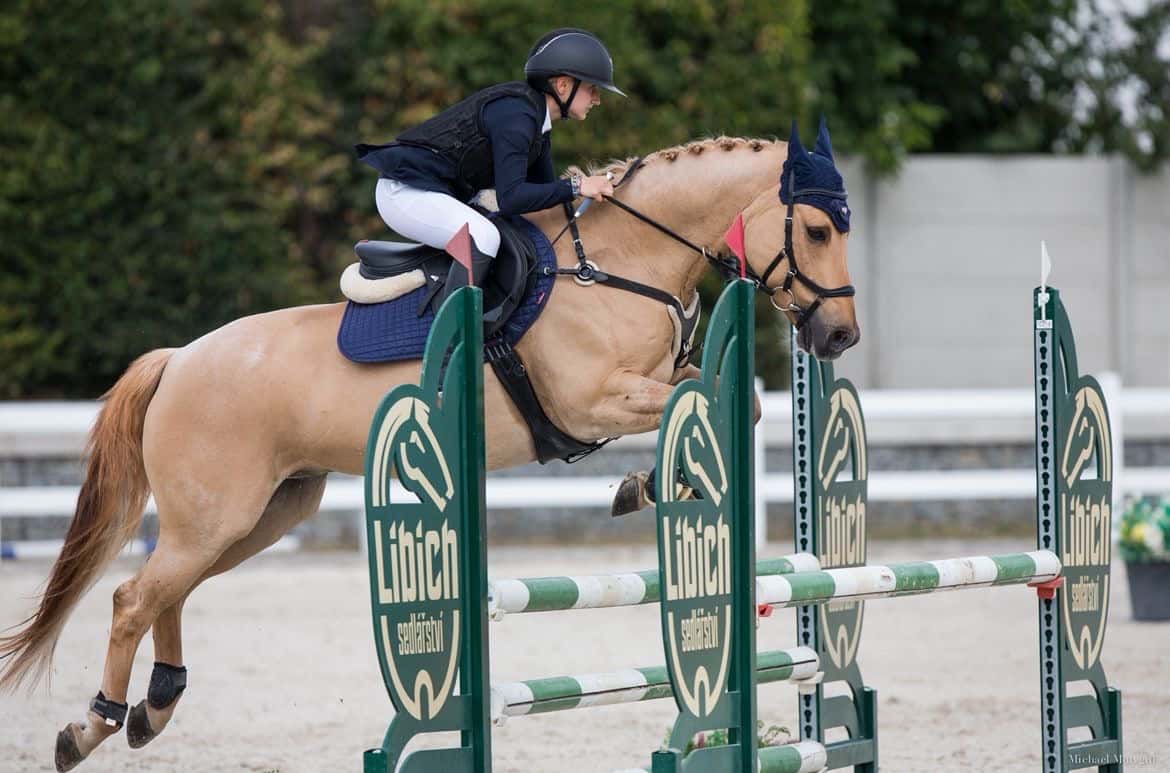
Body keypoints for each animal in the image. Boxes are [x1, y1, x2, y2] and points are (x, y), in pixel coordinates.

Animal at [0, 129, 858, 771]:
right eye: (816, 229)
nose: (840, 336)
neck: (619, 265)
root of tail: (178, 358)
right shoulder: (589, 402)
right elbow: (691, 405)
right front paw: (647, 485)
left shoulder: (648, 382)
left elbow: (728, 400)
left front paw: (652, 484)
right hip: (218, 513)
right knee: (133, 597)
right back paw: (92, 726)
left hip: (262, 514)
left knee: (167, 592)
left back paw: (155, 706)